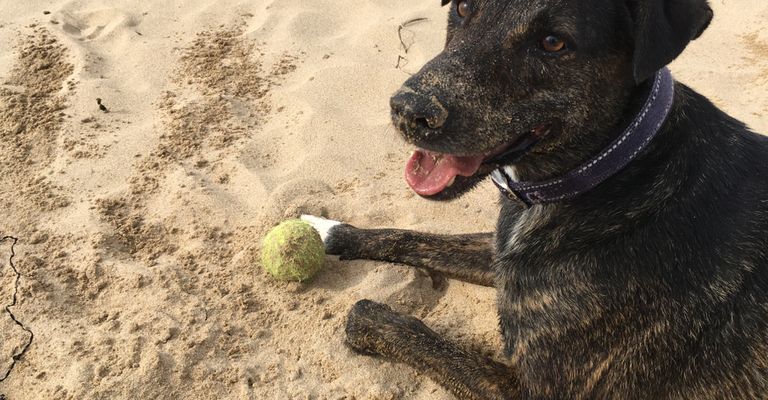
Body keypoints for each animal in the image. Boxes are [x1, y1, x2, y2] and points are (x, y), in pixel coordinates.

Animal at [304, 0, 764, 398]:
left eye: (553, 42)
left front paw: (368, 314)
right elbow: (410, 236)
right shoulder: (503, 256)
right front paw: (331, 232)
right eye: (464, 7)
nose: (406, 111)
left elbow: (389, 323)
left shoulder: (530, 388)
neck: (615, 171)